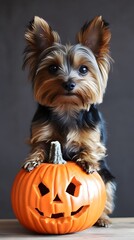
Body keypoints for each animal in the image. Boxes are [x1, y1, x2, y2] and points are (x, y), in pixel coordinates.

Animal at [22, 15, 115, 226]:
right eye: (53, 68)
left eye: (83, 69)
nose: (69, 83)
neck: (67, 107)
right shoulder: (42, 133)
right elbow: (39, 147)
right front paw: (33, 160)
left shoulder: (92, 138)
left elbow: (91, 149)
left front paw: (87, 161)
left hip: (107, 179)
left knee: (105, 197)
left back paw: (102, 218)